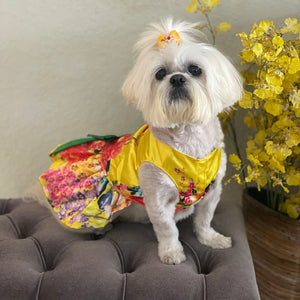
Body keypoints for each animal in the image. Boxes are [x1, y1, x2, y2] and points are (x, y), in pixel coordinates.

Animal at [118, 18, 243, 264]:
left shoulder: (212, 192)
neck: (188, 139)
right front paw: (171, 252)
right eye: (160, 73)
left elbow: (204, 219)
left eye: (195, 69)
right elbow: (167, 230)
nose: (176, 78)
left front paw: (211, 239)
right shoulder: (157, 198)